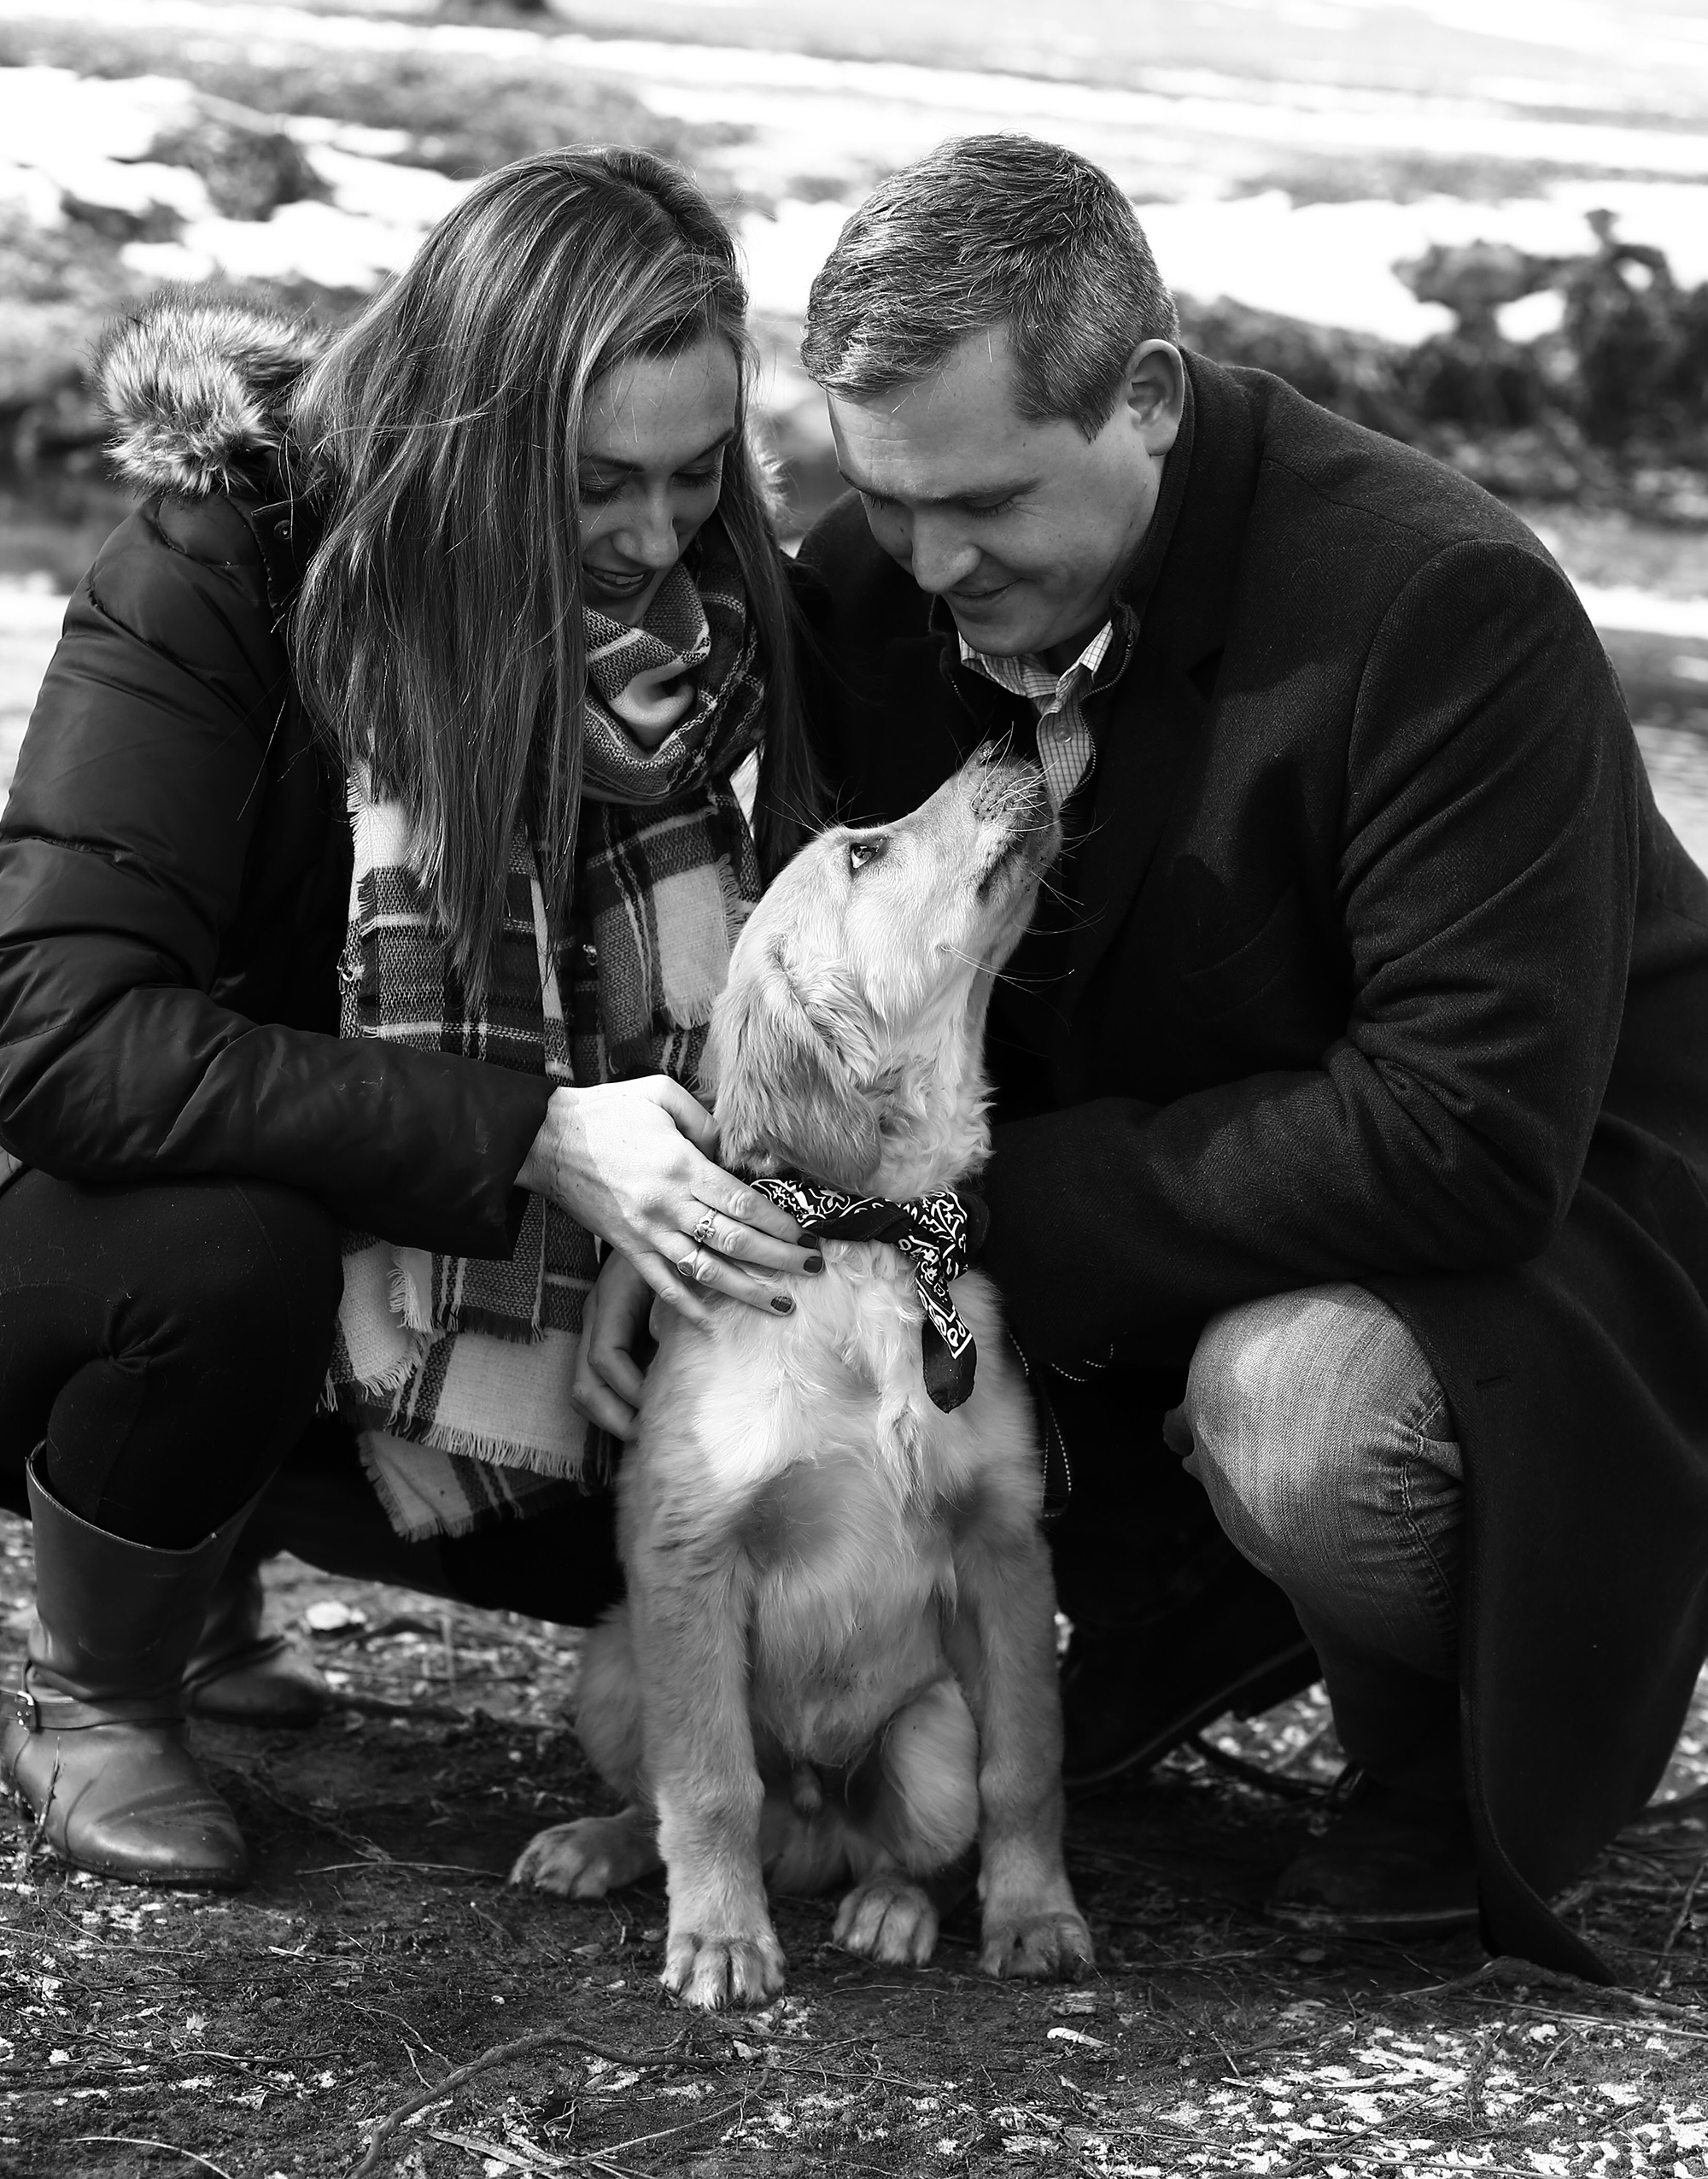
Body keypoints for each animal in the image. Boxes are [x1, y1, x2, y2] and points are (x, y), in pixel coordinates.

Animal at [509, 749, 1093, 2004]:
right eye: (865, 852)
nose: (1011, 746)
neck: (873, 1238)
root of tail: (814, 1831)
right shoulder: (689, 1554)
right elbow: (708, 1783)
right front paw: (722, 1938)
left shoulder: (1005, 1545)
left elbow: (1025, 1765)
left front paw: (1035, 1914)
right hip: (613, 1659)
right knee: (676, 1795)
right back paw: (600, 1845)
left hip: (927, 1731)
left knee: (912, 1836)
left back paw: (892, 1905)